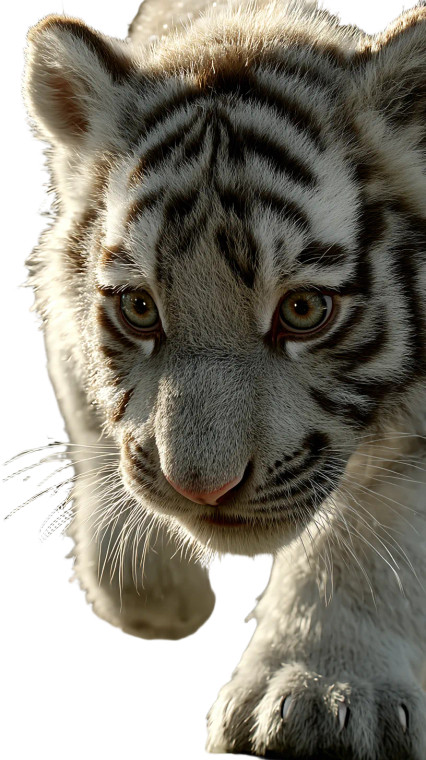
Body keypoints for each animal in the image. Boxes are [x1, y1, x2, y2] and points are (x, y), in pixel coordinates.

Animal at [24, 0, 426, 757]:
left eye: (304, 310)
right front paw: (151, 594)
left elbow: (372, 525)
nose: (200, 489)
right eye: (140, 308)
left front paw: (323, 691)